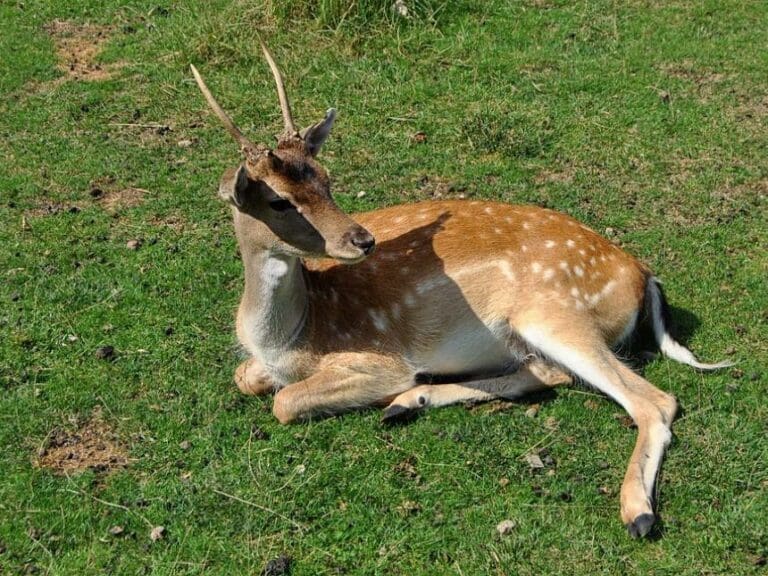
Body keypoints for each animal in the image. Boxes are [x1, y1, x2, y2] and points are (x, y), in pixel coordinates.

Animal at [189, 44, 731, 539]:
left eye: (326, 178)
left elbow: (284, 402)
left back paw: (638, 513)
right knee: (549, 373)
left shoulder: (381, 360)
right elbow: (245, 377)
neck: (291, 337)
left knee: (654, 401)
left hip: (554, 314)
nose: (362, 239)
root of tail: (642, 273)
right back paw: (408, 405)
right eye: (279, 201)